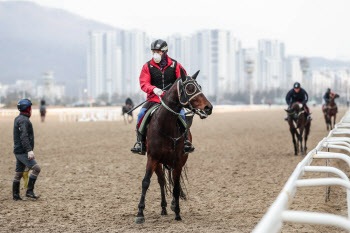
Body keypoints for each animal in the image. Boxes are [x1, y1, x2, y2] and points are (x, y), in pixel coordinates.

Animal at [135, 69, 213, 224]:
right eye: (190, 88)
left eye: (200, 87)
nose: (208, 107)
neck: (165, 125)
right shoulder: (152, 158)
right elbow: (146, 182)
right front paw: (140, 213)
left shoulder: (178, 161)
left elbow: (176, 187)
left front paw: (177, 212)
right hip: (158, 162)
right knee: (162, 181)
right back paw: (163, 207)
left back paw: (170, 205)